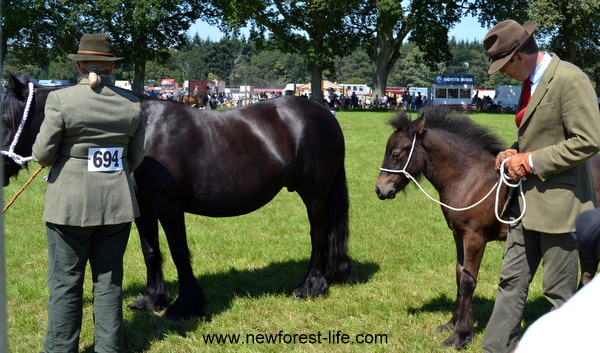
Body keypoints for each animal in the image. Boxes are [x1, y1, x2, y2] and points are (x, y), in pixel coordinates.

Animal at [2, 73, 350, 320]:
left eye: (5, 120)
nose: (1, 170)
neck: (144, 134)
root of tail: (324, 113)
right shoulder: (143, 208)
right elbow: (151, 252)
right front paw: (152, 299)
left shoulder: (169, 208)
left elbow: (179, 252)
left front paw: (186, 305)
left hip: (315, 194)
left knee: (319, 234)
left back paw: (310, 287)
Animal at [378, 106, 600, 346]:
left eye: (396, 153)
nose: (380, 190)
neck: (469, 178)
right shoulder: (459, 235)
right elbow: (459, 275)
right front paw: (453, 324)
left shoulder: (475, 237)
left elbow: (468, 282)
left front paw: (461, 335)